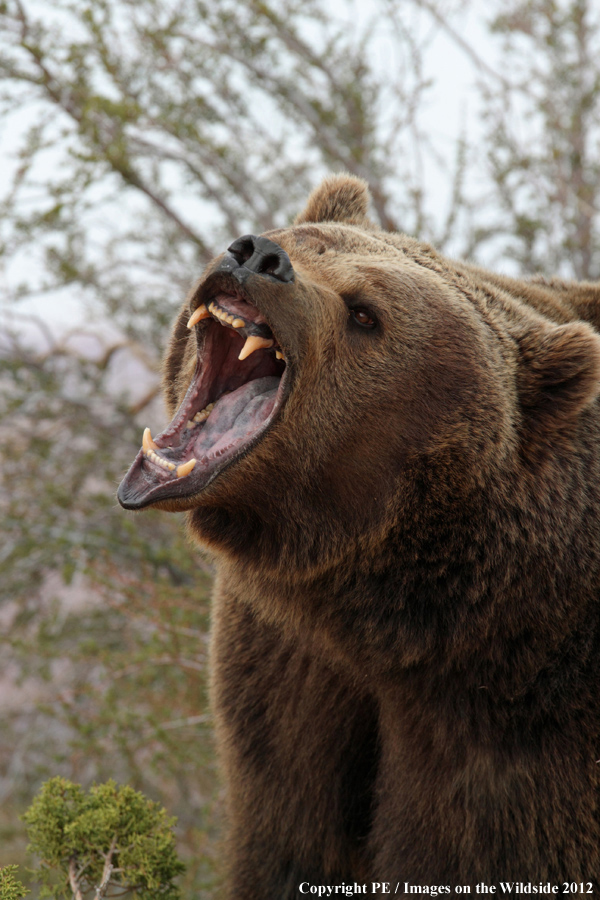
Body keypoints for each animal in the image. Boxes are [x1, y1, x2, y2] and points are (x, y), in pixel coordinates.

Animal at [118, 176, 600, 892]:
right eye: (303, 240)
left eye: (366, 314)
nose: (258, 256)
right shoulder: (288, 679)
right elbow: (288, 840)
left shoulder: (527, 727)